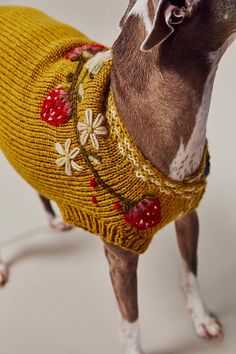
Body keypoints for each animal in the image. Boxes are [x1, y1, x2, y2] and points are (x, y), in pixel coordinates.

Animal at [0, 0, 235, 354]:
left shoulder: (188, 215)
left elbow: (189, 273)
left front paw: (201, 318)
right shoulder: (120, 257)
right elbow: (131, 320)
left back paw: (53, 219)